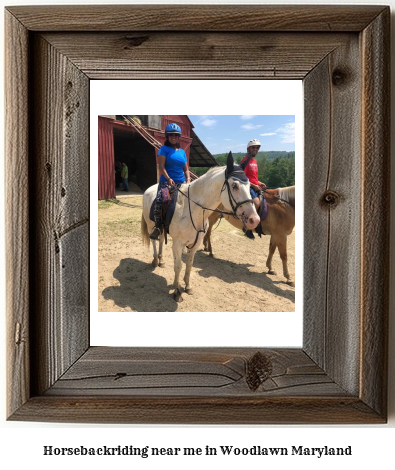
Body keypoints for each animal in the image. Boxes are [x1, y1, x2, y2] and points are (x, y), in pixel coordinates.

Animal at [141, 152, 262, 302]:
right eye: (234, 185)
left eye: (249, 185)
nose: (254, 220)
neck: (192, 209)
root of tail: (149, 189)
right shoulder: (178, 244)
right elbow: (178, 266)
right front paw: (177, 292)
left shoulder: (195, 243)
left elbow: (189, 264)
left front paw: (187, 286)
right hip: (151, 225)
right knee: (153, 240)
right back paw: (155, 260)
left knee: (162, 239)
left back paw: (161, 260)